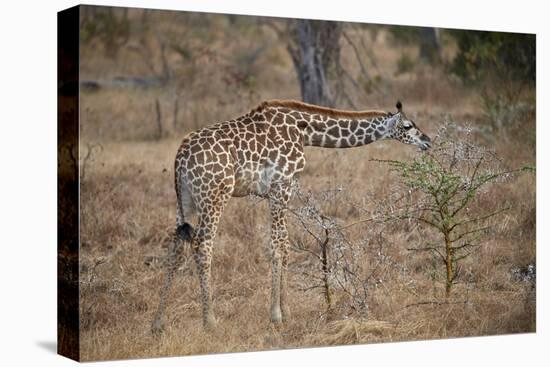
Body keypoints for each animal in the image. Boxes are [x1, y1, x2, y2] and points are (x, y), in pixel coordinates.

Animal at [151, 99, 432, 332]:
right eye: (408, 126)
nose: (428, 141)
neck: (304, 131)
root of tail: (180, 156)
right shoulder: (281, 186)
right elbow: (278, 245)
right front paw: (276, 315)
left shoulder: (281, 189)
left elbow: (284, 246)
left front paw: (286, 311)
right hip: (214, 195)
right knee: (203, 246)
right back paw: (210, 321)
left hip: (185, 199)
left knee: (175, 248)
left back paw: (158, 322)